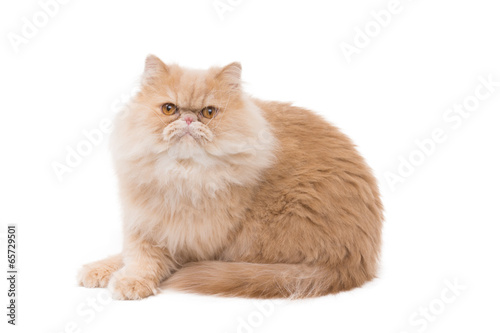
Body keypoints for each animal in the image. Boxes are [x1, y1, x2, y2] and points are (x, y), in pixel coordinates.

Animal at [77, 54, 382, 298]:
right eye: (169, 109)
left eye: (209, 112)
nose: (189, 119)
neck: (182, 174)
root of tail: (359, 261)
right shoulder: (147, 222)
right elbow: (130, 254)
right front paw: (99, 270)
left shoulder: (193, 239)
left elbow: (147, 261)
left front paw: (131, 282)